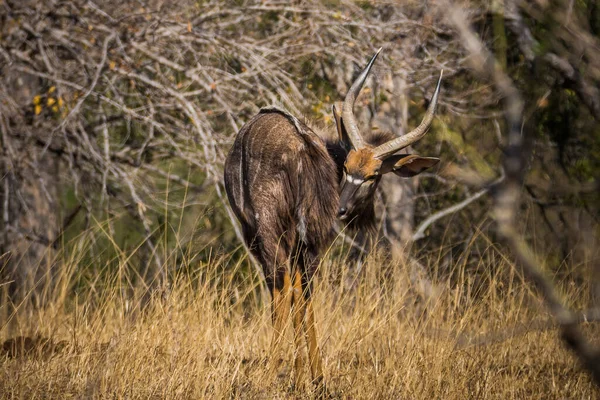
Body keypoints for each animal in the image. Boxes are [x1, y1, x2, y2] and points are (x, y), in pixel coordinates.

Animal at [224, 49, 440, 390]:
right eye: (347, 166)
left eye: (373, 175)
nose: (341, 209)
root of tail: (301, 149)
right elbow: (303, 298)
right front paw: (308, 375)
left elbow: (288, 294)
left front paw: (295, 374)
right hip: (300, 241)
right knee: (300, 293)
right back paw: (312, 376)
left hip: (273, 235)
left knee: (284, 289)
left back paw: (275, 374)